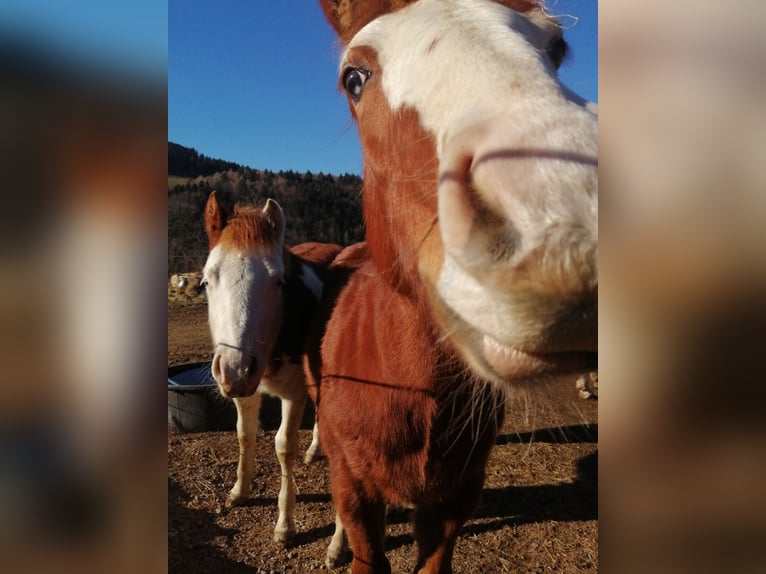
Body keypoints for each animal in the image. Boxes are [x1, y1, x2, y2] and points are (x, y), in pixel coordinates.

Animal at [202, 194, 340, 544]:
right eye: (206, 281)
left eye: (279, 281)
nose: (236, 369)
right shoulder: (244, 392)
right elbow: (244, 434)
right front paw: (239, 491)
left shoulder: (294, 394)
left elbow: (283, 447)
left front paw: (285, 523)